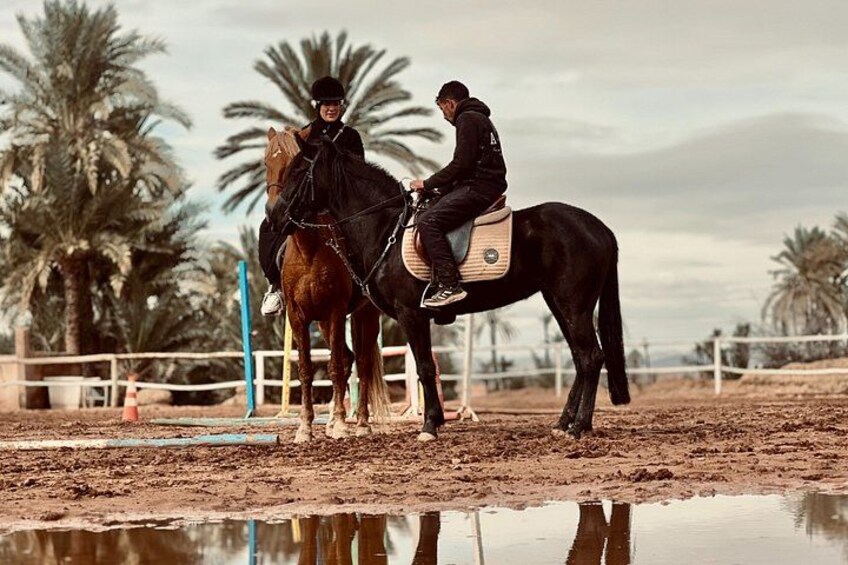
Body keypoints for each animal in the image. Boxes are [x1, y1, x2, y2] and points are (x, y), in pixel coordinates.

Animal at [264, 127, 389, 442]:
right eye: (265, 163)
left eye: (294, 166)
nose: (273, 213)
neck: (309, 249)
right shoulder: (298, 316)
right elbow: (306, 369)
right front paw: (305, 427)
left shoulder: (335, 312)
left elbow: (333, 366)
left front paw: (344, 424)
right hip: (321, 321)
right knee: (347, 358)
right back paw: (332, 421)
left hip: (365, 315)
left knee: (361, 362)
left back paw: (361, 422)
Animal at [273, 136, 630, 442]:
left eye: (299, 172)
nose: (275, 217)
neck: (387, 229)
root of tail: (600, 228)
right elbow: (424, 367)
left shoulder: (411, 314)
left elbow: (425, 367)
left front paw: (430, 425)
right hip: (559, 305)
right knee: (580, 359)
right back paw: (563, 423)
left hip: (574, 306)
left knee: (590, 357)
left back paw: (578, 427)